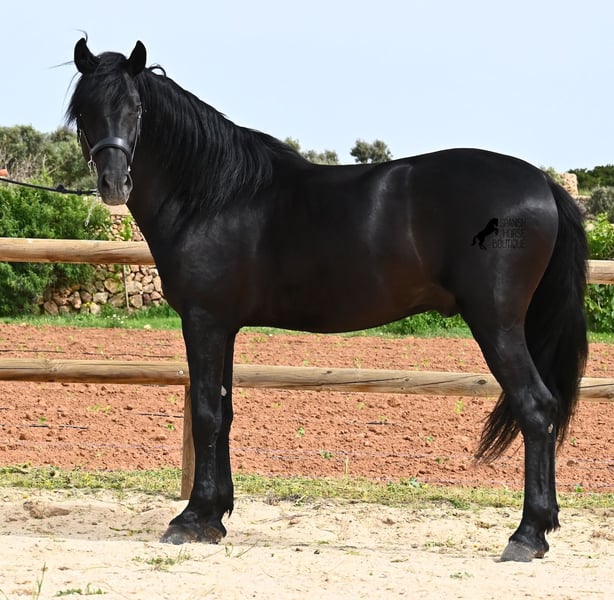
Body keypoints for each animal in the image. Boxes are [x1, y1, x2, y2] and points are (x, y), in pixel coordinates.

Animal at [68, 39, 588, 562]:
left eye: (136, 108)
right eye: (84, 110)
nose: (114, 184)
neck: (214, 196)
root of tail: (543, 183)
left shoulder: (203, 320)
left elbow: (206, 414)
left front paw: (191, 519)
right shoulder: (224, 325)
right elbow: (225, 412)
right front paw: (215, 517)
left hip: (496, 323)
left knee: (537, 408)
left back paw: (527, 535)